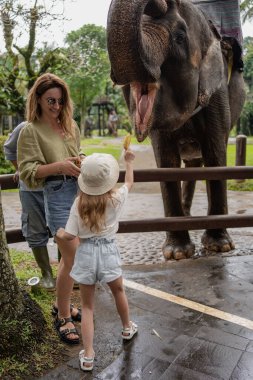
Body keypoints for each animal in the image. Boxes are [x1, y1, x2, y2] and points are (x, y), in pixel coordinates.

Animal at [106, 0, 245, 260]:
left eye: (180, 37)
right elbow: (166, 160)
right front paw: (177, 253)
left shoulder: (217, 91)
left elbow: (215, 155)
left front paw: (219, 246)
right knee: (191, 164)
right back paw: (188, 216)